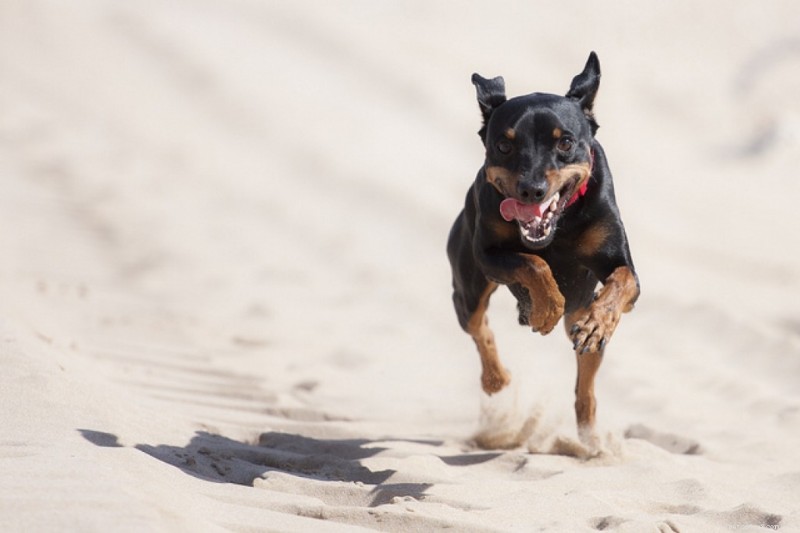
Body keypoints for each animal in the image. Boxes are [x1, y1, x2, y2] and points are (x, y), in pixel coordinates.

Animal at [446, 53, 640, 444]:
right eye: (504, 145)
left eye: (565, 142)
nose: (531, 190)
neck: (557, 229)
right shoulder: (487, 255)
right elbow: (534, 264)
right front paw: (544, 310)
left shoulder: (619, 263)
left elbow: (623, 280)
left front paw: (597, 323)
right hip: (467, 286)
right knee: (478, 324)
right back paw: (496, 378)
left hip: (579, 314)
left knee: (585, 380)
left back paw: (589, 436)